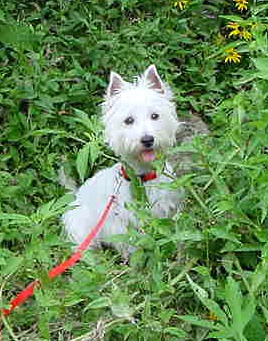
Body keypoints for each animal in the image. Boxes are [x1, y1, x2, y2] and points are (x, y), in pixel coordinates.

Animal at [62, 63, 184, 256]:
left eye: (155, 116)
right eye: (129, 120)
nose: (147, 139)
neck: (142, 177)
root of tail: (76, 195)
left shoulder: (168, 207)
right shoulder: (120, 223)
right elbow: (130, 243)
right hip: (80, 225)